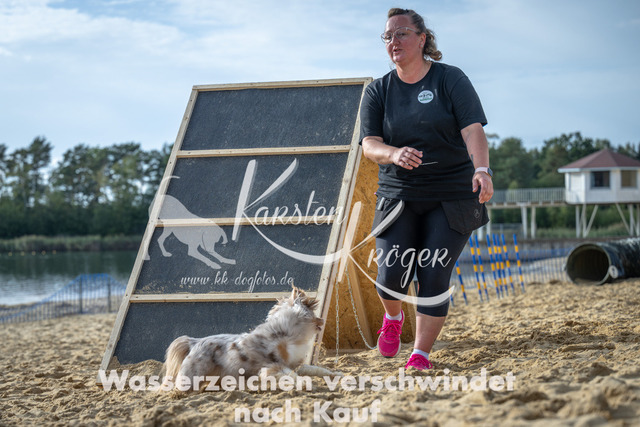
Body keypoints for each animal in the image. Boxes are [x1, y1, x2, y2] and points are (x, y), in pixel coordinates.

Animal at [163, 287, 340, 392]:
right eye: (313, 312)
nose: (323, 320)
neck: (287, 334)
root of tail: (194, 341)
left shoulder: (297, 364)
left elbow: (316, 370)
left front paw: (336, 374)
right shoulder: (273, 366)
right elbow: (291, 375)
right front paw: (304, 383)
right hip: (191, 377)